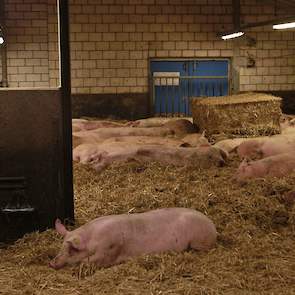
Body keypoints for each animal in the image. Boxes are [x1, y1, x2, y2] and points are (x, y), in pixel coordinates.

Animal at [49, 208, 217, 270]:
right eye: (60, 247)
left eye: (71, 250)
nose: (51, 263)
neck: (91, 240)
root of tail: (213, 227)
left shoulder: (110, 248)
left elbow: (90, 261)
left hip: (199, 241)